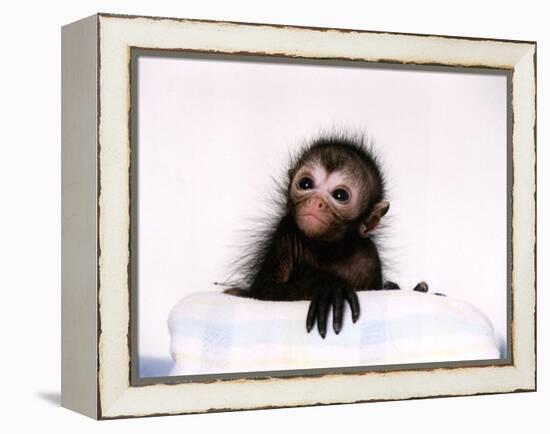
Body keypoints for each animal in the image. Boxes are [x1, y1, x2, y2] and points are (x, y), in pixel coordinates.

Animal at [226, 134, 408, 338]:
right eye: (306, 184)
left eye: (340, 195)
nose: (315, 202)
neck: (328, 249)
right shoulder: (286, 230)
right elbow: (264, 290)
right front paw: (327, 286)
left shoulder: (370, 256)